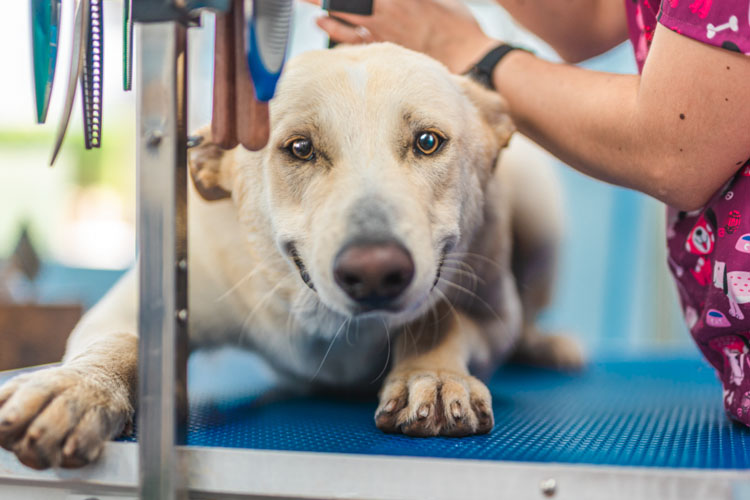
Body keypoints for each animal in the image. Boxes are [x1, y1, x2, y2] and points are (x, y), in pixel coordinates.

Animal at [0, 42, 584, 468]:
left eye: (427, 142)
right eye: (300, 148)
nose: (375, 273)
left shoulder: (491, 313)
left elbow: (442, 319)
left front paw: (434, 376)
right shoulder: (134, 306)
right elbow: (120, 345)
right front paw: (75, 390)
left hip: (542, 210)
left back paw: (547, 345)